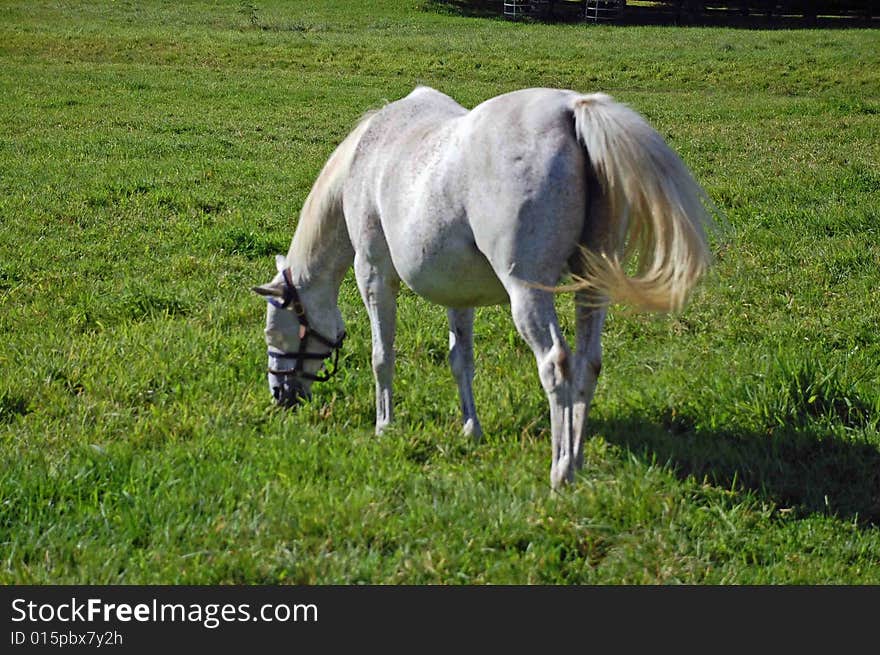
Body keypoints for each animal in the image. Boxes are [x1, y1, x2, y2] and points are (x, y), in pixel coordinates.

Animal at [253, 86, 716, 486]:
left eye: (274, 332)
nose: (279, 394)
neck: (366, 157)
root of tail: (571, 110)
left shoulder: (374, 276)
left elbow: (382, 356)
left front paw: (384, 426)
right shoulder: (459, 297)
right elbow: (461, 361)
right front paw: (470, 428)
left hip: (528, 294)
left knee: (557, 364)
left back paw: (561, 470)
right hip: (592, 288)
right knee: (588, 363)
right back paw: (578, 459)